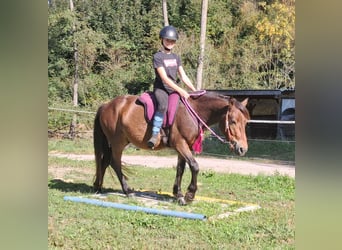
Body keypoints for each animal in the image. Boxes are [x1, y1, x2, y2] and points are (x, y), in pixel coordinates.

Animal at [92, 92, 250, 205]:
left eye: (245, 122)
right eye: (233, 121)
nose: (243, 149)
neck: (192, 112)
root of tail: (106, 105)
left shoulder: (184, 147)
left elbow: (180, 169)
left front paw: (178, 194)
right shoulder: (180, 144)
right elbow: (194, 166)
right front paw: (189, 195)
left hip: (114, 143)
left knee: (104, 162)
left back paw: (98, 187)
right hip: (117, 143)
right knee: (115, 163)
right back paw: (127, 191)